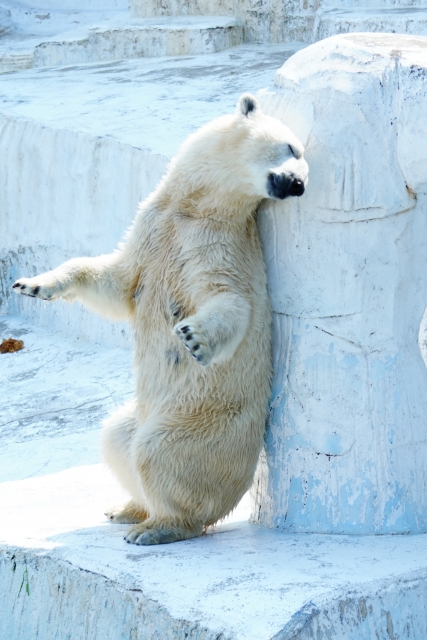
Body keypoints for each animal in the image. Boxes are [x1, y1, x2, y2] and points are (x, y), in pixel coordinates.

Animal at [13, 95, 308, 544]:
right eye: (292, 148)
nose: (298, 184)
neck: (192, 206)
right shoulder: (153, 231)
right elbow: (115, 282)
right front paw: (33, 285)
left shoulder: (218, 242)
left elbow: (230, 299)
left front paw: (193, 337)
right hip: (141, 413)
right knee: (115, 437)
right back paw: (127, 508)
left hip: (201, 420)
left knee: (161, 453)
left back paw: (157, 527)